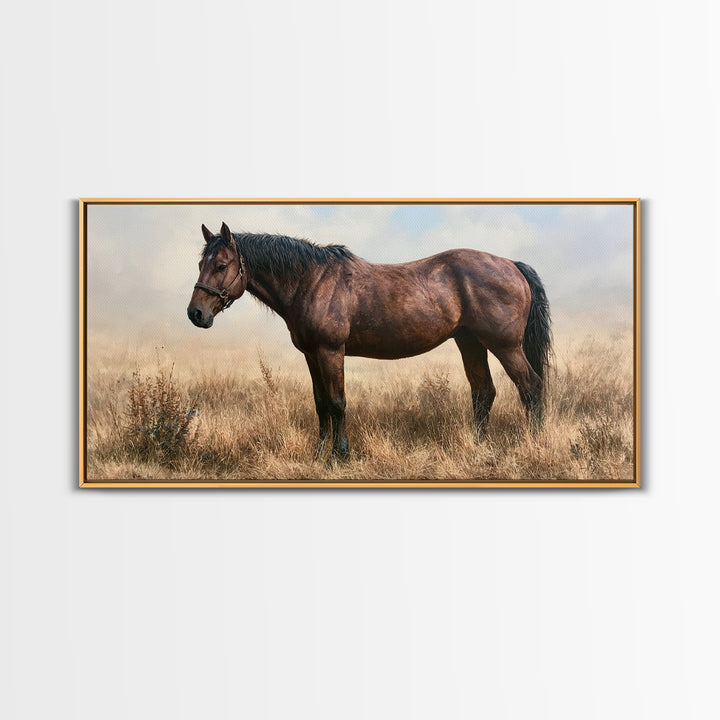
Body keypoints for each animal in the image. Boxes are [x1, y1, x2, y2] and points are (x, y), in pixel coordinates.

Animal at [187, 222, 552, 461]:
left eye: (221, 265)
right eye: (200, 263)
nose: (196, 313)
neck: (311, 281)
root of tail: (512, 265)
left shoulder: (330, 352)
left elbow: (337, 403)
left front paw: (340, 456)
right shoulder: (311, 355)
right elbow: (321, 404)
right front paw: (319, 454)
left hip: (505, 346)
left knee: (530, 386)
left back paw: (532, 443)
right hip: (471, 343)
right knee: (483, 392)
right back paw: (477, 445)